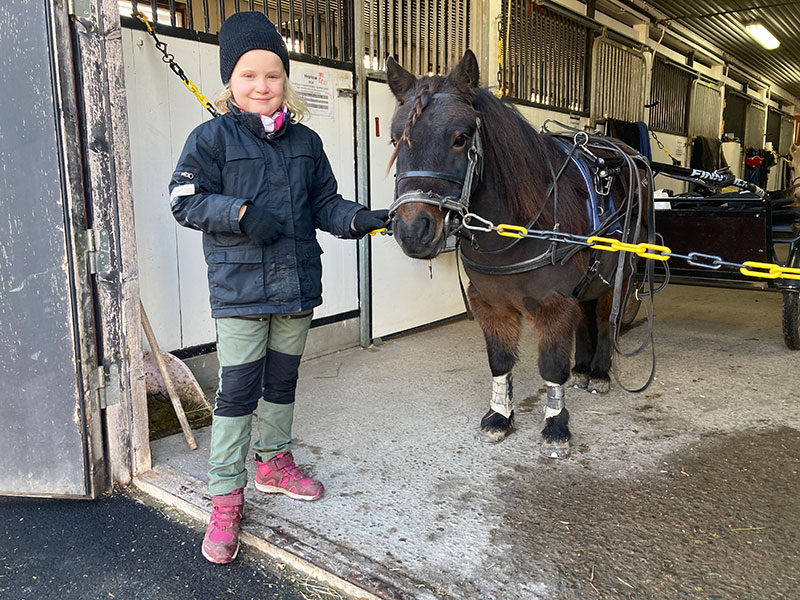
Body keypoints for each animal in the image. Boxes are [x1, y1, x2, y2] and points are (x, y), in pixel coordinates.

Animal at [385, 50, 654, 457]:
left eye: (461, 138)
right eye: (395, 139)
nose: (414, 230)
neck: (518, 229)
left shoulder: (554, 304)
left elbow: (552, 367)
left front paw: (556, 427)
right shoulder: (491, 304)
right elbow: (499, 361)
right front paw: (499, 417)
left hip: (617, 279)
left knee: (604, 319)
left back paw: (599, 373)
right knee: (586, 318)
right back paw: (583, 369)